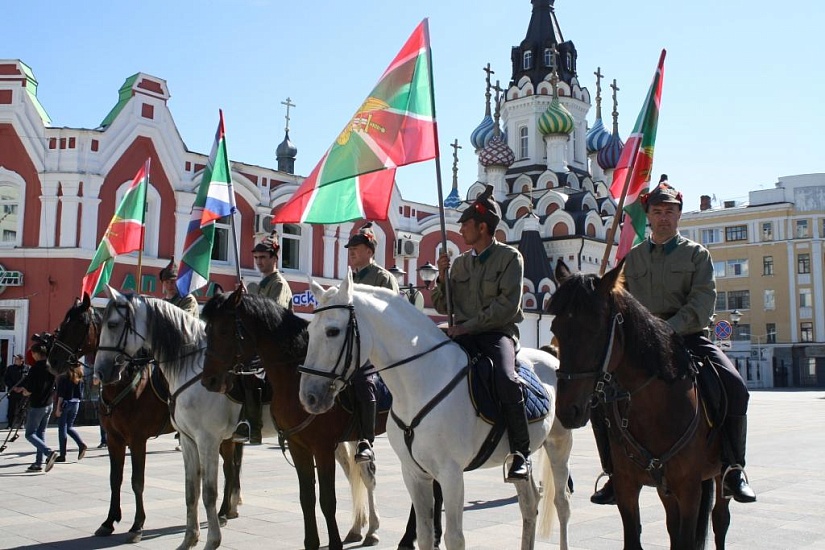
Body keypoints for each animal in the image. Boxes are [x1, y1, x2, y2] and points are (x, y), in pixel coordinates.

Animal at [47, 298, 241, 544]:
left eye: (77, 325)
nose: (52, 361)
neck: (126, 384)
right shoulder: (114, 439)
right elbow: (115, 478)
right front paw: (109, 521)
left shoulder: (138, 439)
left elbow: (137, 481)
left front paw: (137, 525)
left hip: (221, 437)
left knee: (229, 469)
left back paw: (224, 511)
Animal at [92, 288, 370, 550]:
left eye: (112, 324)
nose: (101, 372)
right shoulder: (188, 440)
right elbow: (190, 491)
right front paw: (189, 539)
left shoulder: (203, 440)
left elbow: (206, 491)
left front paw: (210, 540)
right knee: (353, 474)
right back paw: (358, 527)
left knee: (364, 475)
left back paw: (370, 530)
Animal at [298, 274, 572, 550]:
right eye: (309, 332)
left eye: (332, 331)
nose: (308, 396)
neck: (421, 381)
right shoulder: (413, 473)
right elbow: (425, 533)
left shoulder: (451, 475)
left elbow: (454, 538)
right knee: (529, 505)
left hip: (559, 445)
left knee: (562, 504)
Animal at [548, 260, 728, 548]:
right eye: (555, 329)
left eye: (596, 330)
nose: (567, 409)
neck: (654, 410)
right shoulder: (627, 488)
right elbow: (634, 538)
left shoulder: (689, 490)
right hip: (666, 490)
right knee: (672, 527)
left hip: (719, 477)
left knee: (720, 521)